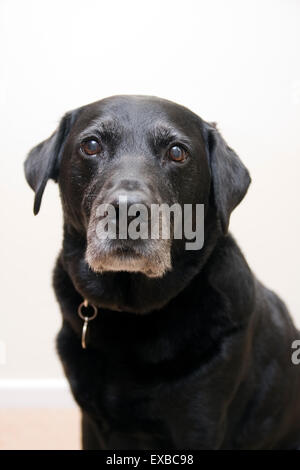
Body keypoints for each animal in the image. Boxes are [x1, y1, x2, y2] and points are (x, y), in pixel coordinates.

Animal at [24, 94, 300, 448]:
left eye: (177, 152)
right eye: (91, 145)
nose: (127, 210)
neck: (130, 314)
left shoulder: (199, 426)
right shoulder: (91, 422)